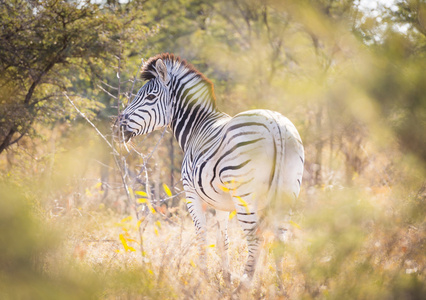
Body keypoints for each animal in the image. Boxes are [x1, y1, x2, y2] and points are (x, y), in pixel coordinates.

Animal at [115, 52, 304, 288]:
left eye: (149, 97)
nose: (117, 127)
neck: (197, 127)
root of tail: (274, 124)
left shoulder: (192, 195)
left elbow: (202, 236)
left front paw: (204, 279)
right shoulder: (221, 203)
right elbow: (223, 241)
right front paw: (225, 278)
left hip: (245, 196)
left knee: (255, 239)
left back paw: (244, 286)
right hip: (288, 191)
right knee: (280, 237)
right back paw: (279, 286)